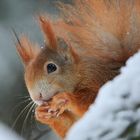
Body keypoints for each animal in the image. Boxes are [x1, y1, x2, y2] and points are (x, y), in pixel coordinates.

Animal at [15, 0, 140, 138]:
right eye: (26, 75)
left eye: (51, 67)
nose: (37, 97)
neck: (78, 74)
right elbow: (70, 129)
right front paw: (41, 113)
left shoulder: (96, 77)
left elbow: (92, 102)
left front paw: (66, 99)